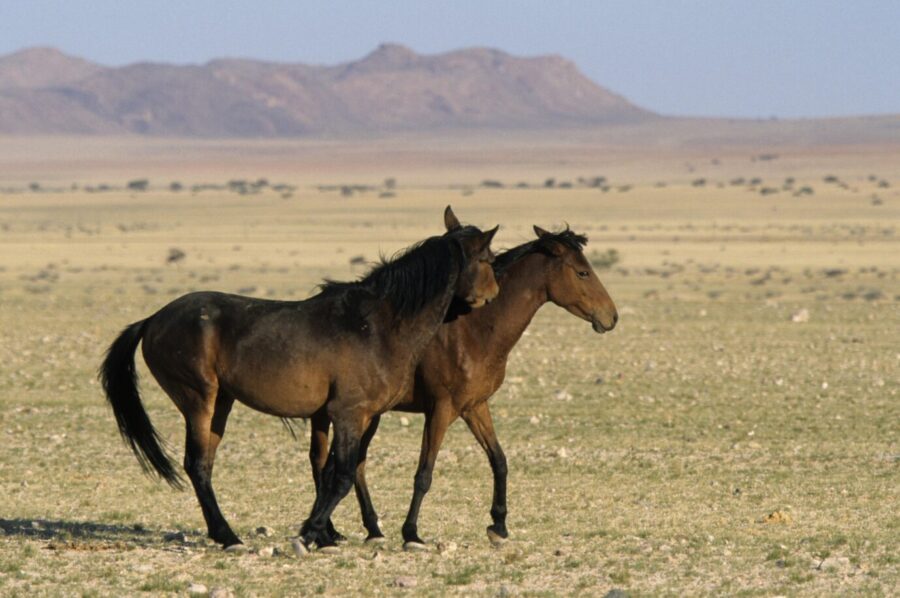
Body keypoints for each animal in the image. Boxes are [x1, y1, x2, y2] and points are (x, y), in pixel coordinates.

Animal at [103, 207, 506, 552]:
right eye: (487, 260)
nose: (494, 295)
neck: (378, 324)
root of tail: (153, 319)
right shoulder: (349, 413)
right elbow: (341, 475)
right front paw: (310, 534)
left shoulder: (350, 416)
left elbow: (329, 473)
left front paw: (322, 533)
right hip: (198, 400)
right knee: (197, 465)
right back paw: (229, 537)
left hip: (221, 404)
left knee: (205, 464)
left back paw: (223, 534)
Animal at [312, 225, 620, 548]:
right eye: (583, 272)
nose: (611, 316)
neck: (474, 330)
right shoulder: (441, 408)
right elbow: (424, 473)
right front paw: (411, 532)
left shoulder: (474, 406)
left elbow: (499, 460)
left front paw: (499, 524)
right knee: (338, 465)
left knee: (341, 464)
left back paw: (363, 529)